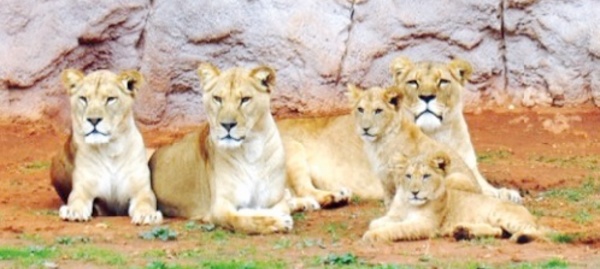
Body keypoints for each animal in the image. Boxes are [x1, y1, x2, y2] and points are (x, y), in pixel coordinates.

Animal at [50, 68, 163, 223]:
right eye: (83, 98)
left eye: (110, 99)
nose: (93, 120)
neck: (111, 149)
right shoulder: (82, 190)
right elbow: (77, 199)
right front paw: (73, 211)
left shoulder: (141, 190)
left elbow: (146, 201)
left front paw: (148, 215)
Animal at [150, 62, 318, 232]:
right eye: (217, 98)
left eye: (245, 99)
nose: (227, 124)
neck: (251, 149)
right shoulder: (219, 207)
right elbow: (243, 219)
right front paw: (277, 221)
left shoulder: (275, 198)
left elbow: (278, 206)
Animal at [346, 85, 482, 206]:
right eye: (360, 109)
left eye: (378, 110)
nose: (365, 128)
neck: (378, 143)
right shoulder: (385, 180)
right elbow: (389, 204)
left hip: (456, 178)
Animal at [360, 151, 544, 243]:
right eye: (408, 176)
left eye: (426, 176)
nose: (415, 192)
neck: (407, 204)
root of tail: (531, 215)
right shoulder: (395, 215)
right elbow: (374, 223)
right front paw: (376, 228)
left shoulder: (426, 224)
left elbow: (397, 228)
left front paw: (372, 236)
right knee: (498, 231)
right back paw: (463, 232)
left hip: (502, 215)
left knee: (538, 231)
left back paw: (520, 237)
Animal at [392, 57, 524, 203]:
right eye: (413, 82)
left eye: (443, 81)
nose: (427, 97)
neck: (435, 133)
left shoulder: (469, 169)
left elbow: (485, 188)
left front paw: (507, 194)